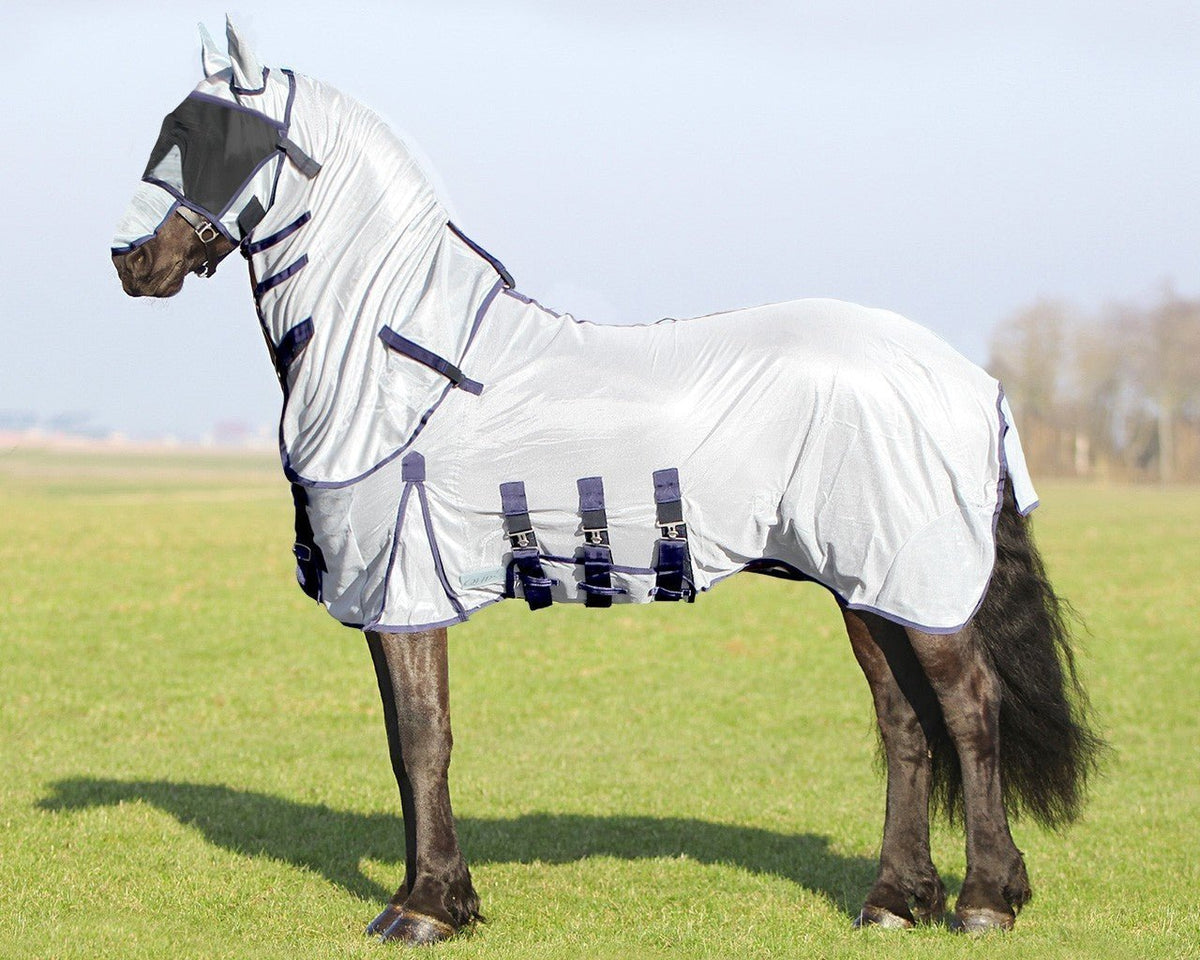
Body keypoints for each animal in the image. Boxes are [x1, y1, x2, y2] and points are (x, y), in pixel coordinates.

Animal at [111, 19, 1103, 945]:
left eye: (212, 136)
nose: (131, 261)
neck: (403, 366)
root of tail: (968, 378)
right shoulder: (392, 600)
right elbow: (400, 742)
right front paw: (430, 897)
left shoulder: (406, 590)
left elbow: (424, 739)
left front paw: (428, 909)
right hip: (866, 585)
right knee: (904, 723)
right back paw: (896, 900)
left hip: (914, 577)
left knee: (969, 710)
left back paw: (985, 900)